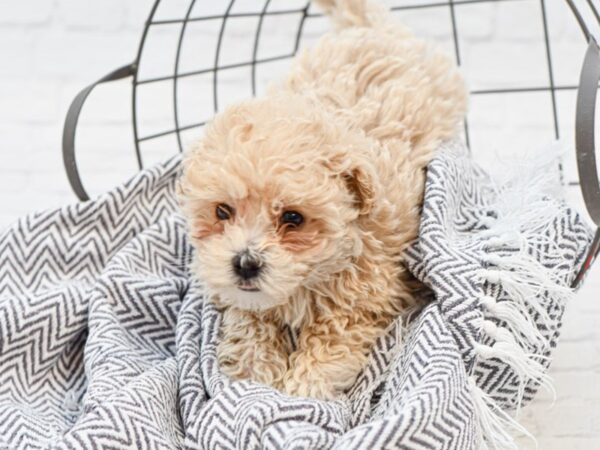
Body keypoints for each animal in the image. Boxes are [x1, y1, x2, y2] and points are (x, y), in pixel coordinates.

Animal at [178, 0, 468, 400]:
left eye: (293, 218)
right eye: (223, 211)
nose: (245, 264)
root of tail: (370, 28)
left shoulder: (364, 300)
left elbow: (328, 345)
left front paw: (301, 391)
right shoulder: (241, 299)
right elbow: (251, 327)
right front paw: (257, 378)